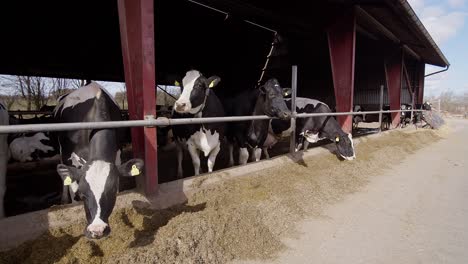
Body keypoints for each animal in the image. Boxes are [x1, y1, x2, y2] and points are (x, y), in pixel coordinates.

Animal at [53, 82, 144, 239]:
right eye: (83, 194)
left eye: (112, 191)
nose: (97, 230)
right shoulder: (70, 157)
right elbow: (72, 186)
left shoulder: (117, 155)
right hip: (61, 149)